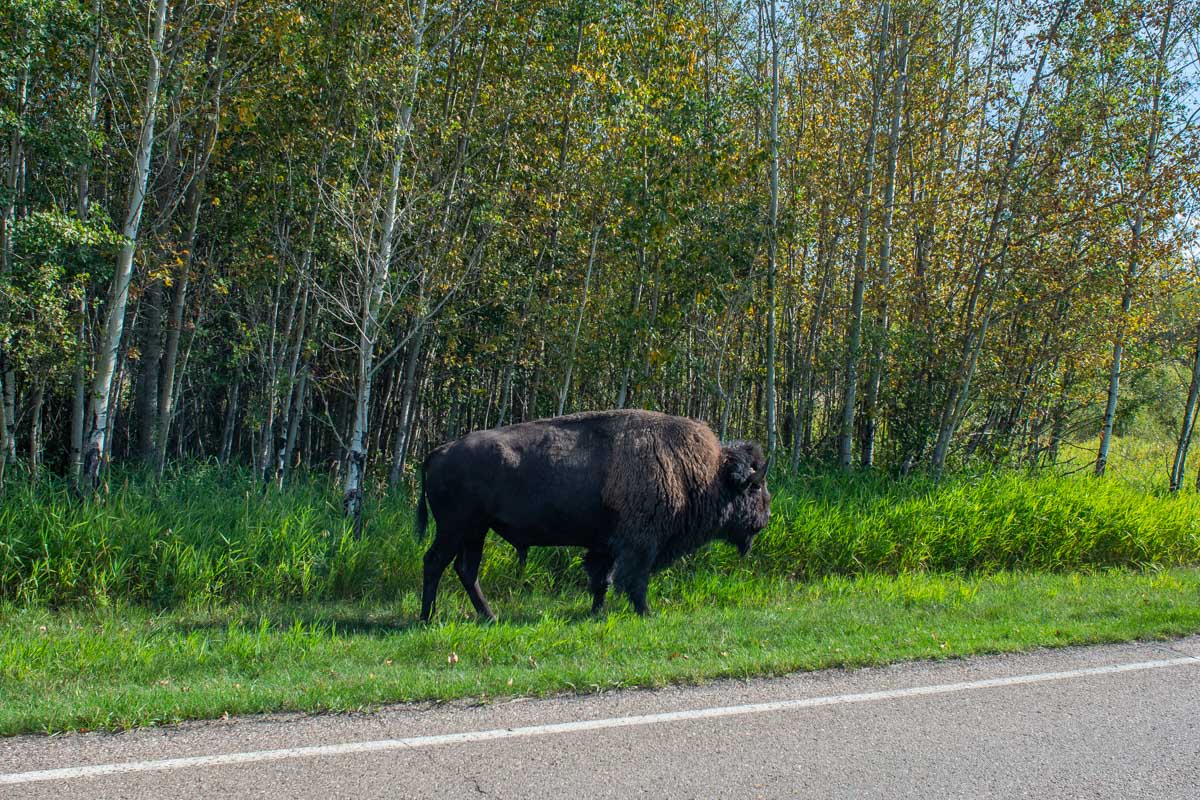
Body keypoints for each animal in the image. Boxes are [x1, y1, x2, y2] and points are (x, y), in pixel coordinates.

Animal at [415, 409, 771, 621]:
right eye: (754, 487)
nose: (764, 519)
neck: (701, 470)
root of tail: (436, 453)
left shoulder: (605, 545)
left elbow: (603, 579)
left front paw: (597, 613)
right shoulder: (640, 544)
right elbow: (634, 580)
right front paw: (646, 613)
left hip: (475, 531)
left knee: (466, 570)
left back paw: (489, 616)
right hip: (455, 529)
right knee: (435, 563)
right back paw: (427, 618)